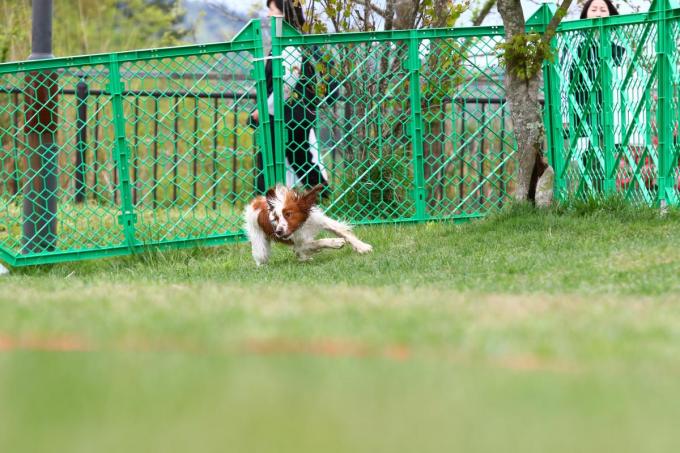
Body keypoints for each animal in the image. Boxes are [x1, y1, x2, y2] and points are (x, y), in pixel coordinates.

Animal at [244, 184, 372, 264]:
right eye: (276, 218)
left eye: (288, 214)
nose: (278, 232)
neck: (302, 225)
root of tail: (254, 202)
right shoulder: (299, 244)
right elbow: (317, 242)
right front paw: (335, 242)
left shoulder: (320, 221)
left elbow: (343, 232)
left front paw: (362, 247)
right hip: (260, 247)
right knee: (261, 258)